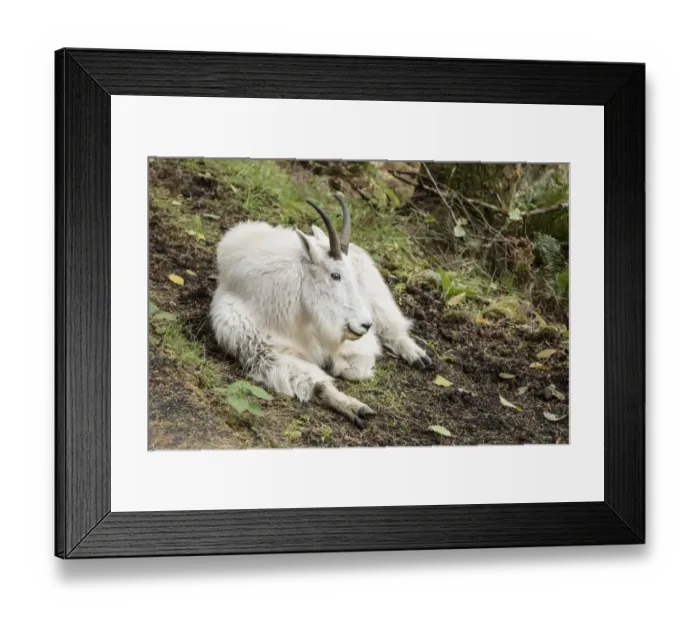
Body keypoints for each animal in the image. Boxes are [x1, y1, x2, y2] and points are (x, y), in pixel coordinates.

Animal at [210, 195, 433, 428]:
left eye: (350, 275)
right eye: (335, 275)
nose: (365, 324)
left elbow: (353, 369)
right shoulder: (262, 349)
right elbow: (317, 383)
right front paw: (354, 407)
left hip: (376, 293)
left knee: (392, 327)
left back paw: (418, 355)